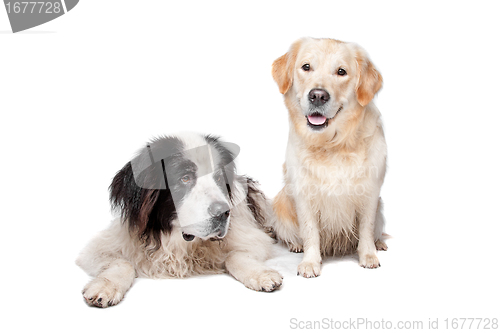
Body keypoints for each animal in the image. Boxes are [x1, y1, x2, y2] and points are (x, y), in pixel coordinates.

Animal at [77, 132, 282, 306]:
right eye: (185, 178)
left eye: (218, 178)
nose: (223, 212)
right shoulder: (104, 246)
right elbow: (122, 263)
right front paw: (105, 286)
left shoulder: (249, 237)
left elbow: (235, 256)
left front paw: (262, 274)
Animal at [272, 36, 388, 276]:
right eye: (306, 67)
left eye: (341, 71)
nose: (318, 95)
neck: (333, 144)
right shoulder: (304, 194)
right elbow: (310, 232)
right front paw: (310, 262)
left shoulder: (370, 192)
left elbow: (366, 229)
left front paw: (369, 255)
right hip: (281, 205)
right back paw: (295, 245)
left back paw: (379, 243)